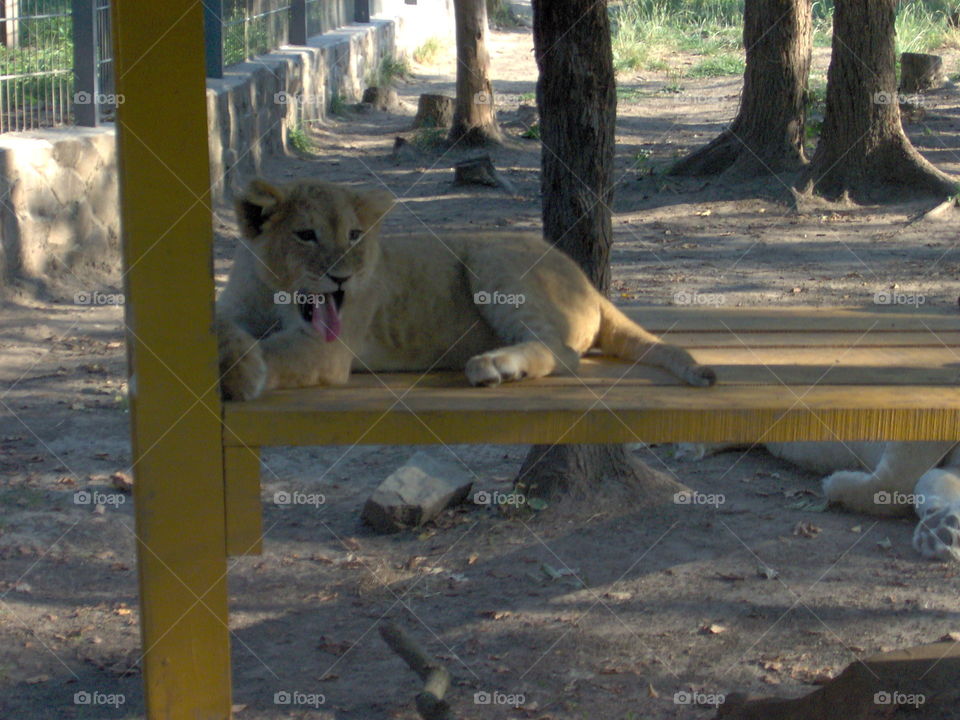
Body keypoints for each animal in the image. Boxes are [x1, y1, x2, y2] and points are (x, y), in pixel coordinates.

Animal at [215, 178, 716, 405]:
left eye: (355, 236)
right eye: (305, 235)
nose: (343, 277)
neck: (273, 293)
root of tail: (592, 288)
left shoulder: (327, 348)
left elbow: (275, 351)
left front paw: (242, 373)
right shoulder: (236, 309)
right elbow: (223, 328)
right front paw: (233, 356)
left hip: (491, 257)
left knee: (562, 351)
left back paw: (494, 366)